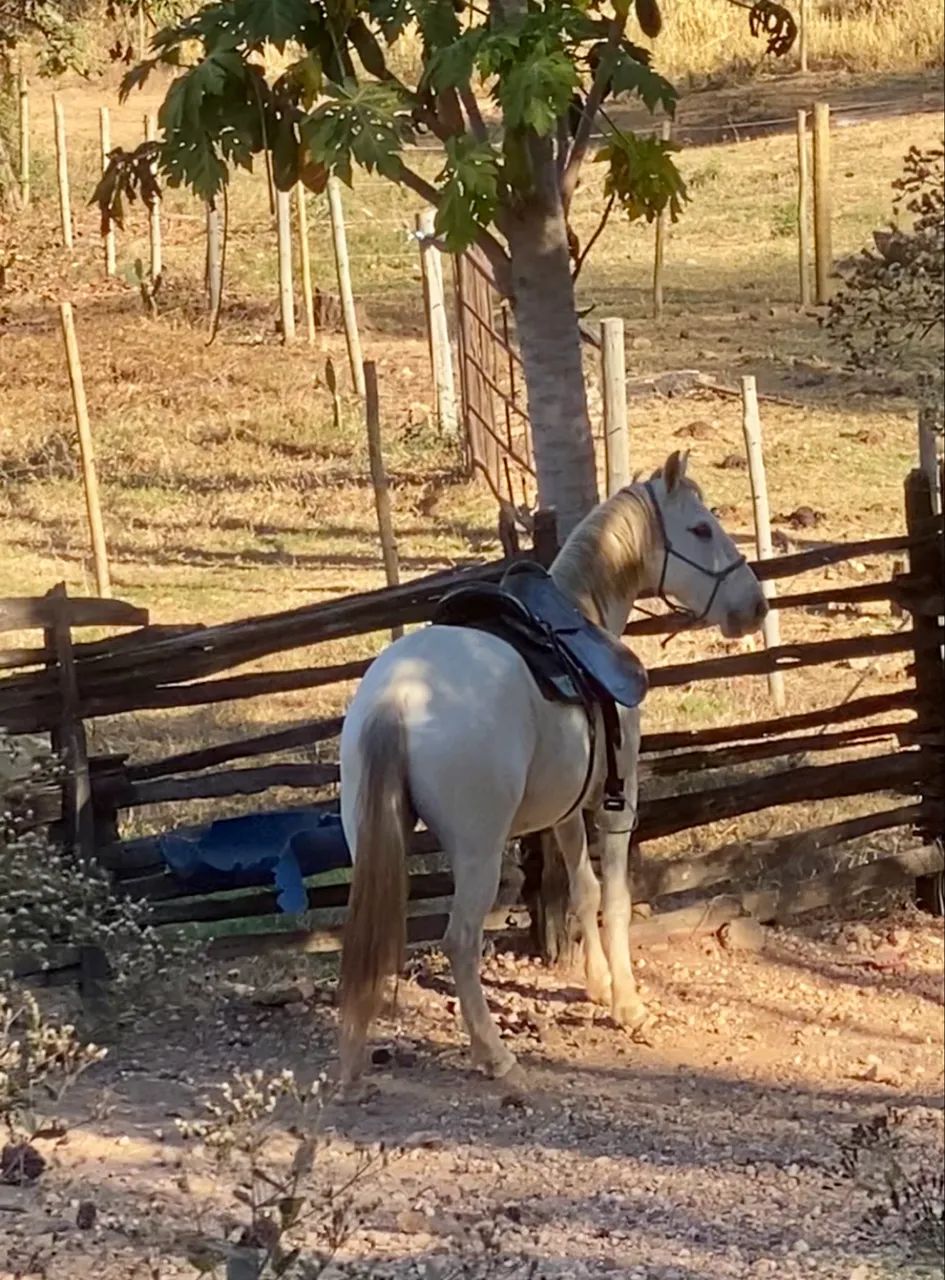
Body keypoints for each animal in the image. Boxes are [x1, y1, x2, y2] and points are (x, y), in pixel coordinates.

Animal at [338, 450, 767, 1088]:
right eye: (699, 529)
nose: (754, 605)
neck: (582, 619)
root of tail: (399, 696)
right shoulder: (617, 803)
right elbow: (615, 898)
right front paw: (629, 1004)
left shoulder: (566, 810)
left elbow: (584, 891)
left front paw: (597, 985)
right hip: (479, 853)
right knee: (460, 941)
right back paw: (495, 1054)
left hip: (368, 838)